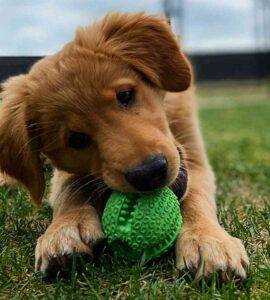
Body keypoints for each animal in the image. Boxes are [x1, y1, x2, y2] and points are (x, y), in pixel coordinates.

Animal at [0, 11, 249, 278]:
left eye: (126, 95)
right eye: (76, 139)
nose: (150, 173)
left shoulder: (193, 154)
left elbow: (196, 195)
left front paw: (208, 240)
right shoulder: (66, 171)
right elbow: (71, 187)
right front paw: (65, 229)